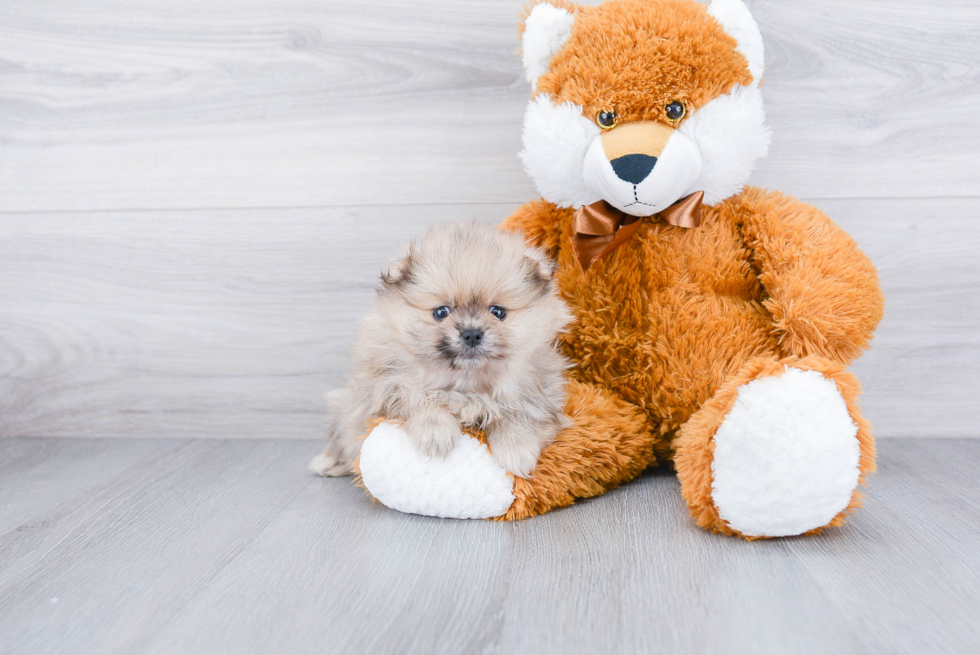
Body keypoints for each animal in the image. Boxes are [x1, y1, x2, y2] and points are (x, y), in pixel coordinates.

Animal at [310, 223, 572, 480]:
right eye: (441, 312)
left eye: (498, 312)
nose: (471, 333)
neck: (466, 384)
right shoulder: (388, 386)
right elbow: (421, 399)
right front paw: (436, 433)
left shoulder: (535, 390)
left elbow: (518, 412)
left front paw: (516, 450)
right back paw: (329, 463)